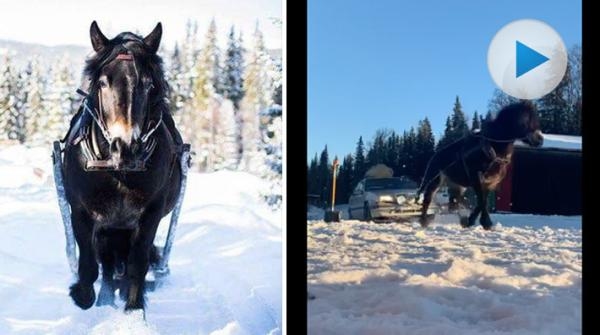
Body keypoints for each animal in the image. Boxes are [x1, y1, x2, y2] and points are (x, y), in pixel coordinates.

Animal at [62, 22, 185, 314]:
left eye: (148, 84)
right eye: (103, 83)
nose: (126, 147)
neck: (118, 172)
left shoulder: (150, 214)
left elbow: (137, 264)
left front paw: (134, 308)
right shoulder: (81, 213)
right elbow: (88, 266)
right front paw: (81, 294)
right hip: (109, 230)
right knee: (106, 263)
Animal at [418, 102, 544, 231]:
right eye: (524, 119)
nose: (540, 140)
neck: (492, 149)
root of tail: (435, 156)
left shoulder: (491, 182)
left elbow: (482, 201)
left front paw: (470, 221)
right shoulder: (476, 177)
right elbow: (482, 200)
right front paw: (486, 223)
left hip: (457, 186)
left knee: (454, 201)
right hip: (435, 181)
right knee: (428, 199)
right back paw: (424, 221)